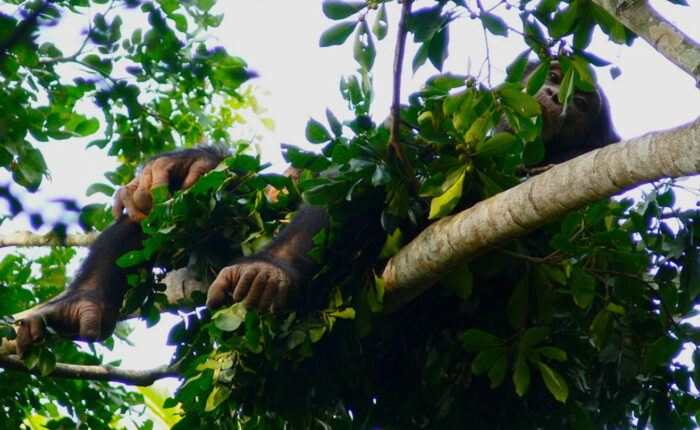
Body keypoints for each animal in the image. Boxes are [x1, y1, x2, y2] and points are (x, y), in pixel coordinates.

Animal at [15, 59, 616, 356]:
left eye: (581, 103)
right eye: (556, 78)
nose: (552, 96)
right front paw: (179, 166)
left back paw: (269, 272)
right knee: (172, 216)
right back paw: (81, 300)